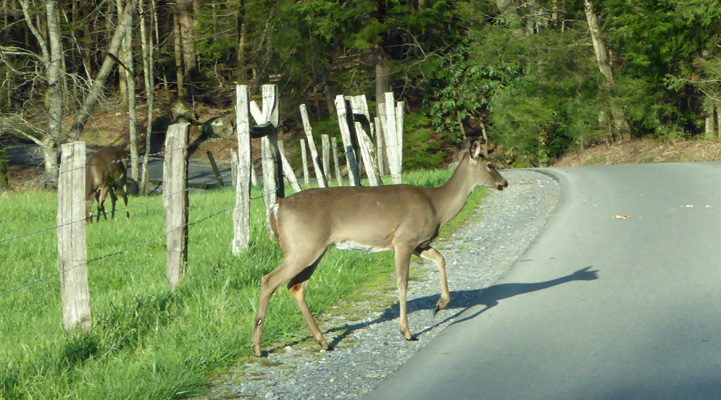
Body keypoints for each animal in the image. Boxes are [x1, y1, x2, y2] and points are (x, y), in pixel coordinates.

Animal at [250, 141, 510, 356]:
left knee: (295, 286)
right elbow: (403, 282)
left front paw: (440, 304)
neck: (437, 206)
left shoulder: (419, 244)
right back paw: (257, 347)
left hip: (314, 249)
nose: (504, 182)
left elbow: (441, 259)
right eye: (489, 164)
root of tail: (275, 208)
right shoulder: (404, 239)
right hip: (303, 246)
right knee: (269, 280)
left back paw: (322, 341)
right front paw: (407, 332)